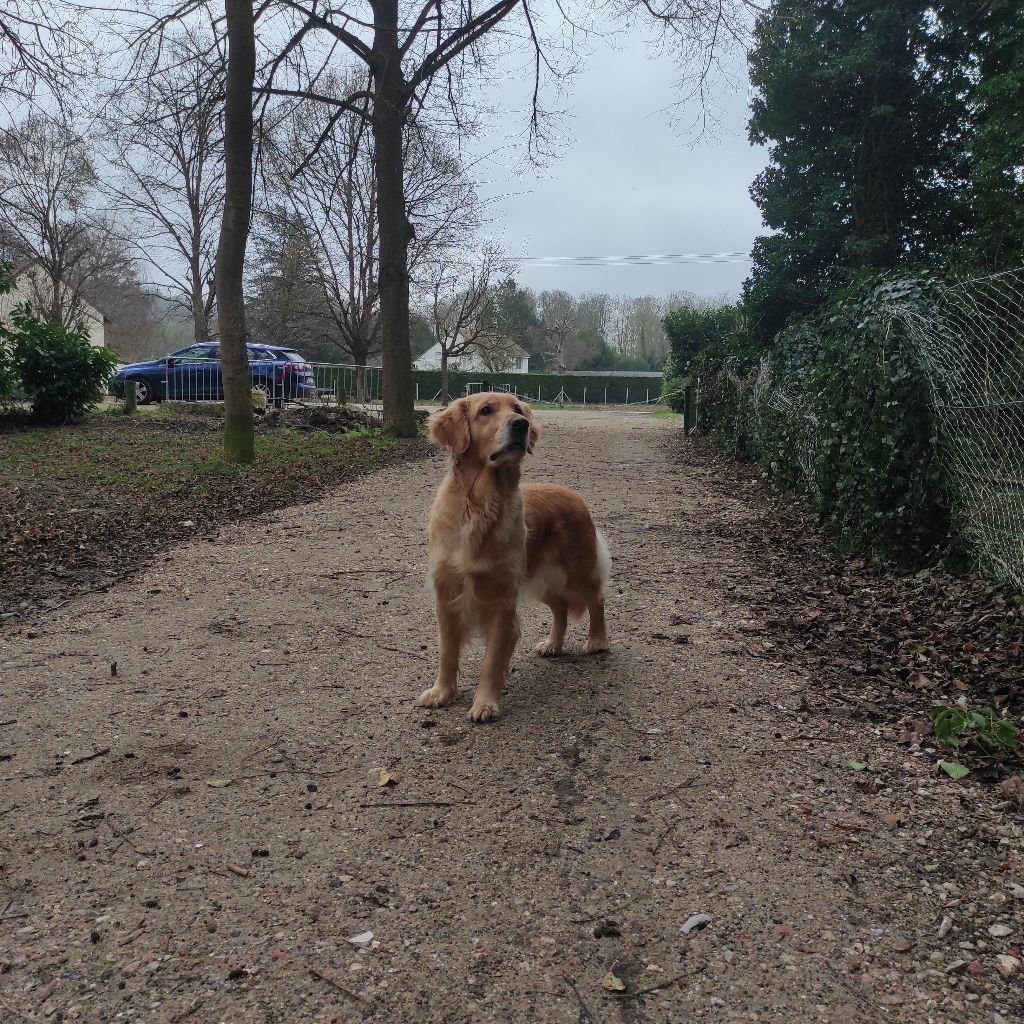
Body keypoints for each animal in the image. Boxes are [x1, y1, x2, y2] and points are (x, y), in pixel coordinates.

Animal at [419, 389, 610, 720]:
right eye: (485, 410)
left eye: (518, 409)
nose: (521, 425)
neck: (480, 504)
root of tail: (575, 494)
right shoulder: (446, 597)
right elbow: (447, 653)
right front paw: (442, 692)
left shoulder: (502, 602)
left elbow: (492, 661)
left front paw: (485, 704)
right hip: (543, 580)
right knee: (560, 608)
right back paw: (553, 643)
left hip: (578, 570)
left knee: (596, 598)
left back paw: (597, 640)